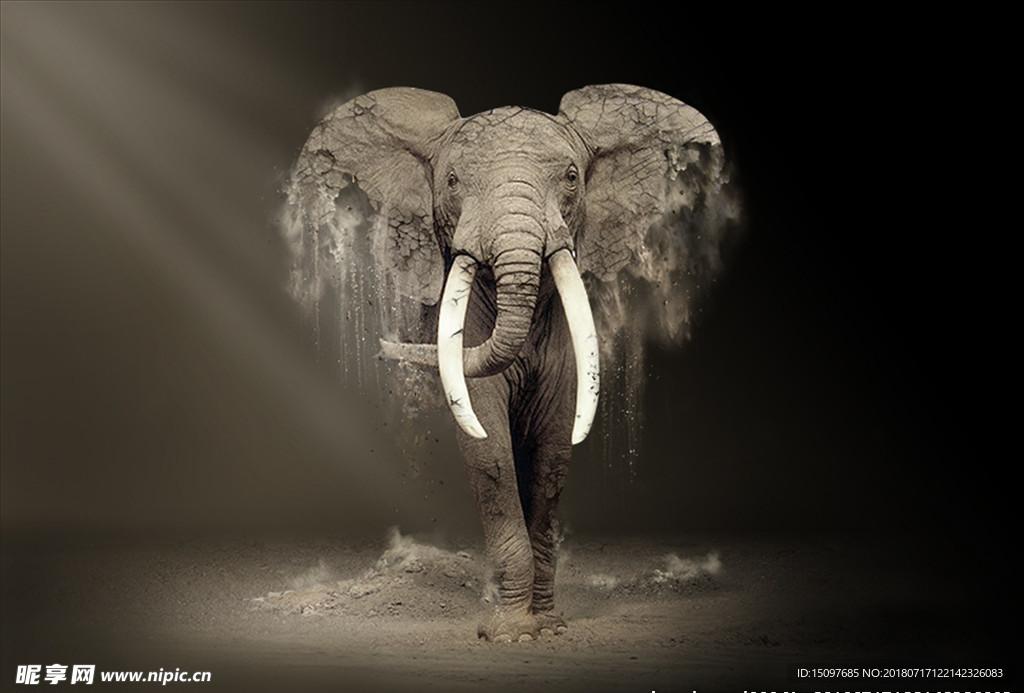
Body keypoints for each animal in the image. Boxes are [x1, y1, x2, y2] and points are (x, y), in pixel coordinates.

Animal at [282, 84, 735, 642]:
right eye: (452, 181)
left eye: (571, 177)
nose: (382, 346)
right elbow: (489, 449)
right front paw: (514, 633)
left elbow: (553, 450)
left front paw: (550, 626)